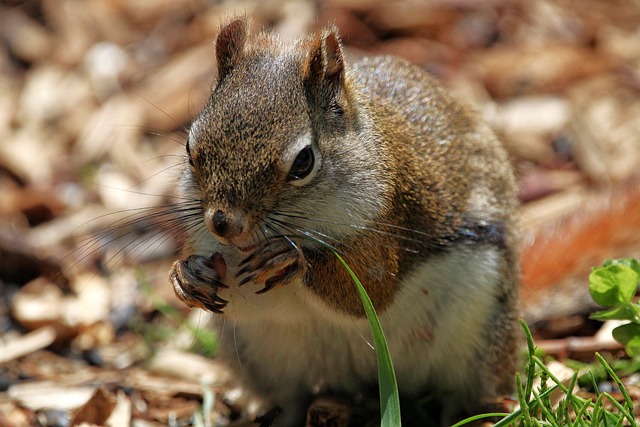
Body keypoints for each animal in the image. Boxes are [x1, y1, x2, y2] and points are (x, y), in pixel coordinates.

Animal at [169, 18, 520, 426]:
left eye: (303, 162)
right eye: (191, 150)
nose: (224, 223)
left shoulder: (386, 227)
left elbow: (368, 288)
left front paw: (291, 259)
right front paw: (187, 275)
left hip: (477, 334)